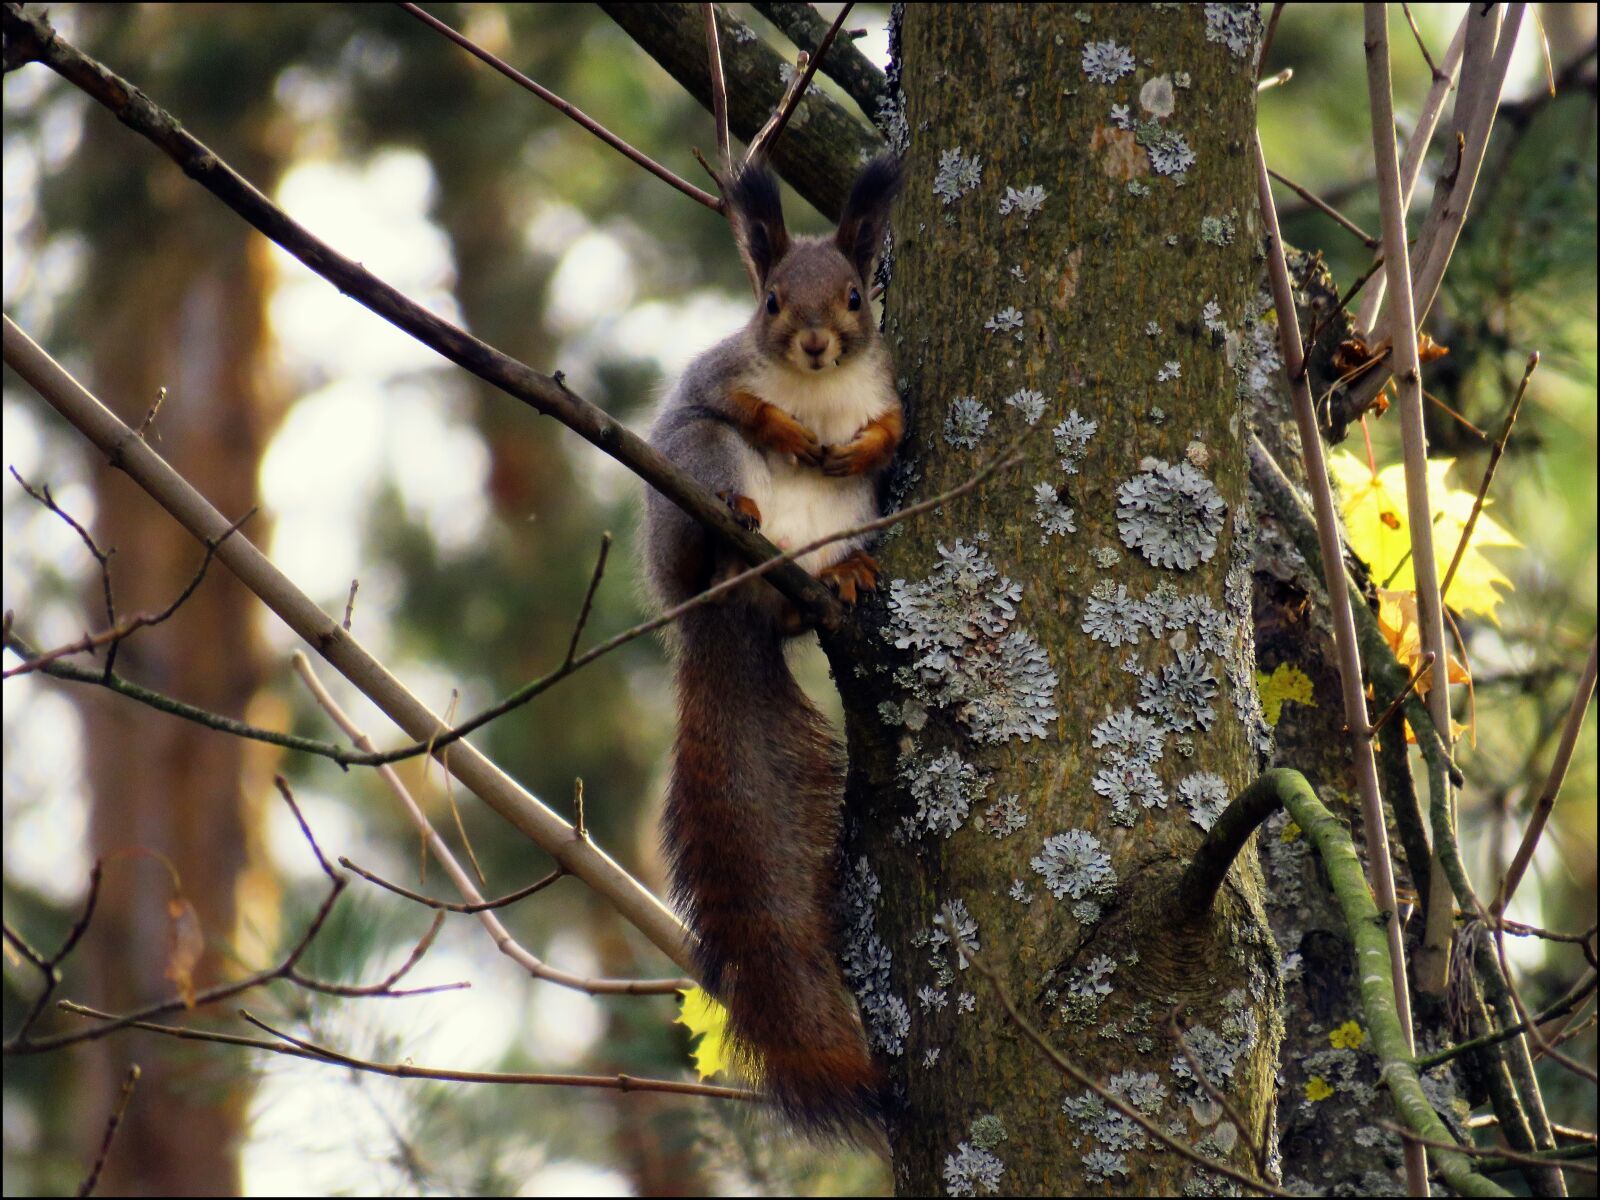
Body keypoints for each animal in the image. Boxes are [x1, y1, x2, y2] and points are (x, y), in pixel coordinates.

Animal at [643, 155, 903, 1137]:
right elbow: (736, 400)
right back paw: (740, 525)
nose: (818, 345)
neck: (823, 392)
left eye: (859, 297)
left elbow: (894, 428)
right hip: (693, 476)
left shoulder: (887, 389)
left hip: (851, 521)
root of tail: (726, 613)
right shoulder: (714, 378)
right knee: (711, 472)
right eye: (771, 303)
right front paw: (785, 428)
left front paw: (863, 440)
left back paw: (844, 579)